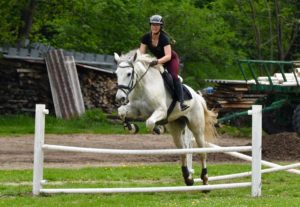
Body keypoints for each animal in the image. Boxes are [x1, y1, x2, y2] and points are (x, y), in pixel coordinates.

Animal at [113, 49, 217, 186]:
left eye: (129, 74)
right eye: (116, 74)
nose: (120, 98)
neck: (143, 86)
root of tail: (198, 97)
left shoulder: (161, 111)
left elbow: (149, 122)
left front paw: (158, 129)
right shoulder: (136, 110)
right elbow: (121, 112)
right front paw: (131, 127)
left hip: (197, 127)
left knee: (202, 152)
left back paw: (205, 179)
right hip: (176, 127)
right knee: (182, 151)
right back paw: (188, 178)